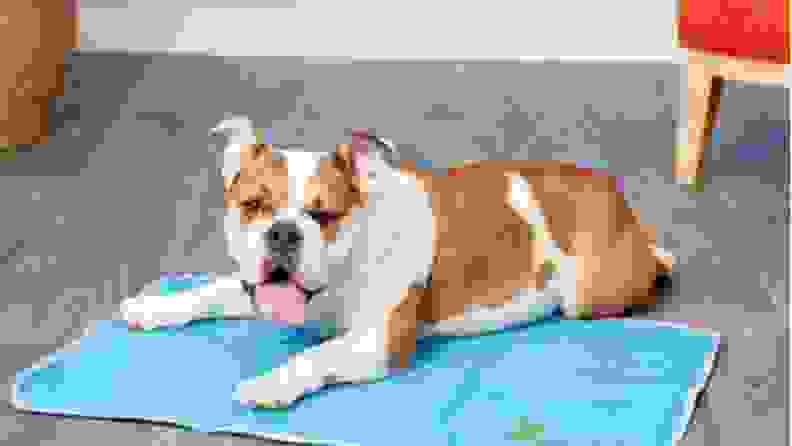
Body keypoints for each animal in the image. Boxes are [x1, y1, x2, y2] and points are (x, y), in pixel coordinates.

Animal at [119, 114, 676, 408]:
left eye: (323, 214)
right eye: (253, 205)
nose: (283, 232)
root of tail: (620, 200)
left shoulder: (374, 342)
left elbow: (316, 355)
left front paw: (273, 382)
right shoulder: (256, 288)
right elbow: (209, 291)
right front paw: (155, 306)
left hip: (589, 292)